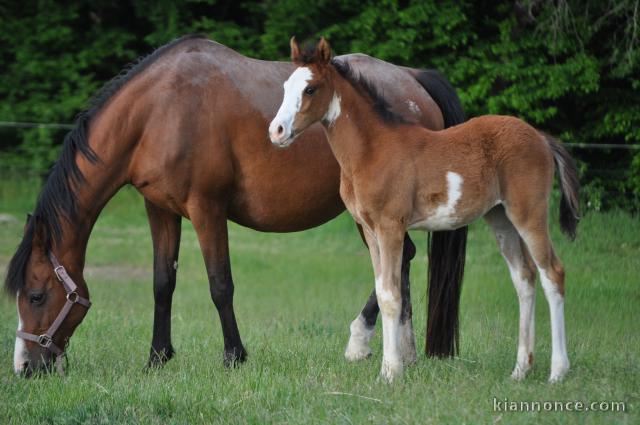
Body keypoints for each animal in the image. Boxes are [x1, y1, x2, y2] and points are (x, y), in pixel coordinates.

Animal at [270, 38, 580, 382]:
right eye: (285, 86)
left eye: (310, 89)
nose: (277, 131)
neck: (372, 150)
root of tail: (541, 137)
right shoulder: (370, 229)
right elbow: (383, 291)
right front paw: (390, 367)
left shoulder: (391, 226)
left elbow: (392, 295)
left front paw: (391, 372)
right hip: (500, 218)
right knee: (524, 278)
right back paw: (520, 370)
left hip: (529, 213)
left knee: (552, 274)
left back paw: (557, 372)